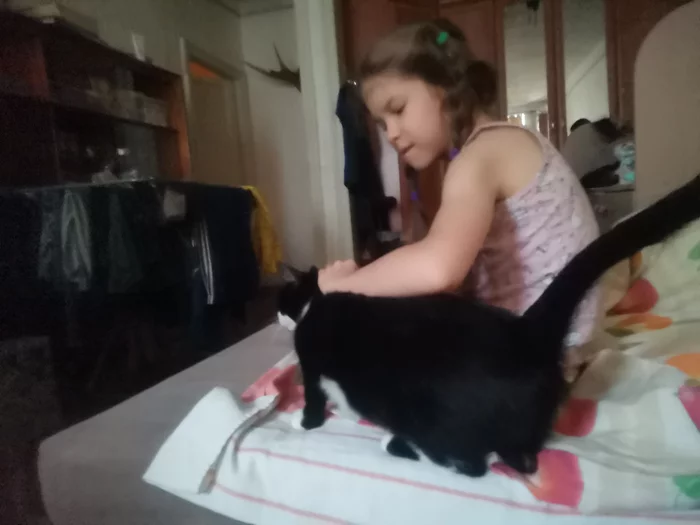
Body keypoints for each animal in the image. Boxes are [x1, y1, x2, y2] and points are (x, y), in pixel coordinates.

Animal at [277, 175, 700, 478]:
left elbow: (313, 395)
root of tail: (526, 333)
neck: (314, 305)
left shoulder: (311, 362)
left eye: (281, 299)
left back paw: (399, 445)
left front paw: (304, 422)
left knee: (472, 464)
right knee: (525, 461)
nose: (277, 314)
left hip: (433, 413)